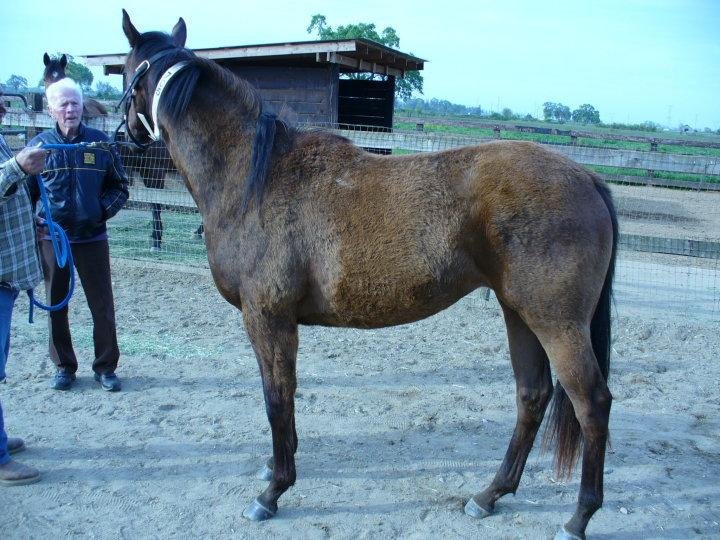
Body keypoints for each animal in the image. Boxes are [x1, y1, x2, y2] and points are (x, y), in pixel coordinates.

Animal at [121, 11, 617, 540]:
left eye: (124, 73)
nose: (126, 137)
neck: (255, 178)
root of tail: (587, 178)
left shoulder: (268, 318)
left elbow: (277, 397)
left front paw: (273, 491)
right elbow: (282, 400)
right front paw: (277, 467)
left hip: (556, 323)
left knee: (592, 405)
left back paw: (578, 517)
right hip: (518, 312)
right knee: (532, 396)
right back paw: (489, 495)